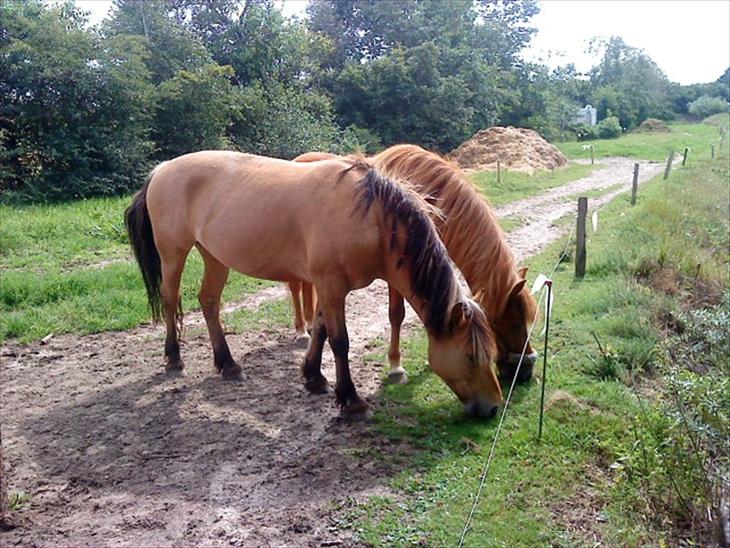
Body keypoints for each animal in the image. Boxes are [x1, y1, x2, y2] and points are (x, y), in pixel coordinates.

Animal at [125, 151, 503, 419]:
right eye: (471, 355)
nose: (494, 407)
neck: (369, 218)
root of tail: (161, 169)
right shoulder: (331, 286)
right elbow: (340, 341)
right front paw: (350, 400)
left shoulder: (325, 286)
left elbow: (319, 328)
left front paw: (313, 377)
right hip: (173, 254)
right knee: (171, 299)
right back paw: (174, 359)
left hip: (215, 256)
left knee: (209, 302)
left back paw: (228, 364)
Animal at [291, 145, 538, 385]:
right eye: (516, 324)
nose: (525, 371)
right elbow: (396, 314)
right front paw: (396, 367)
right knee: (295, 287)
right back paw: (303, 332)